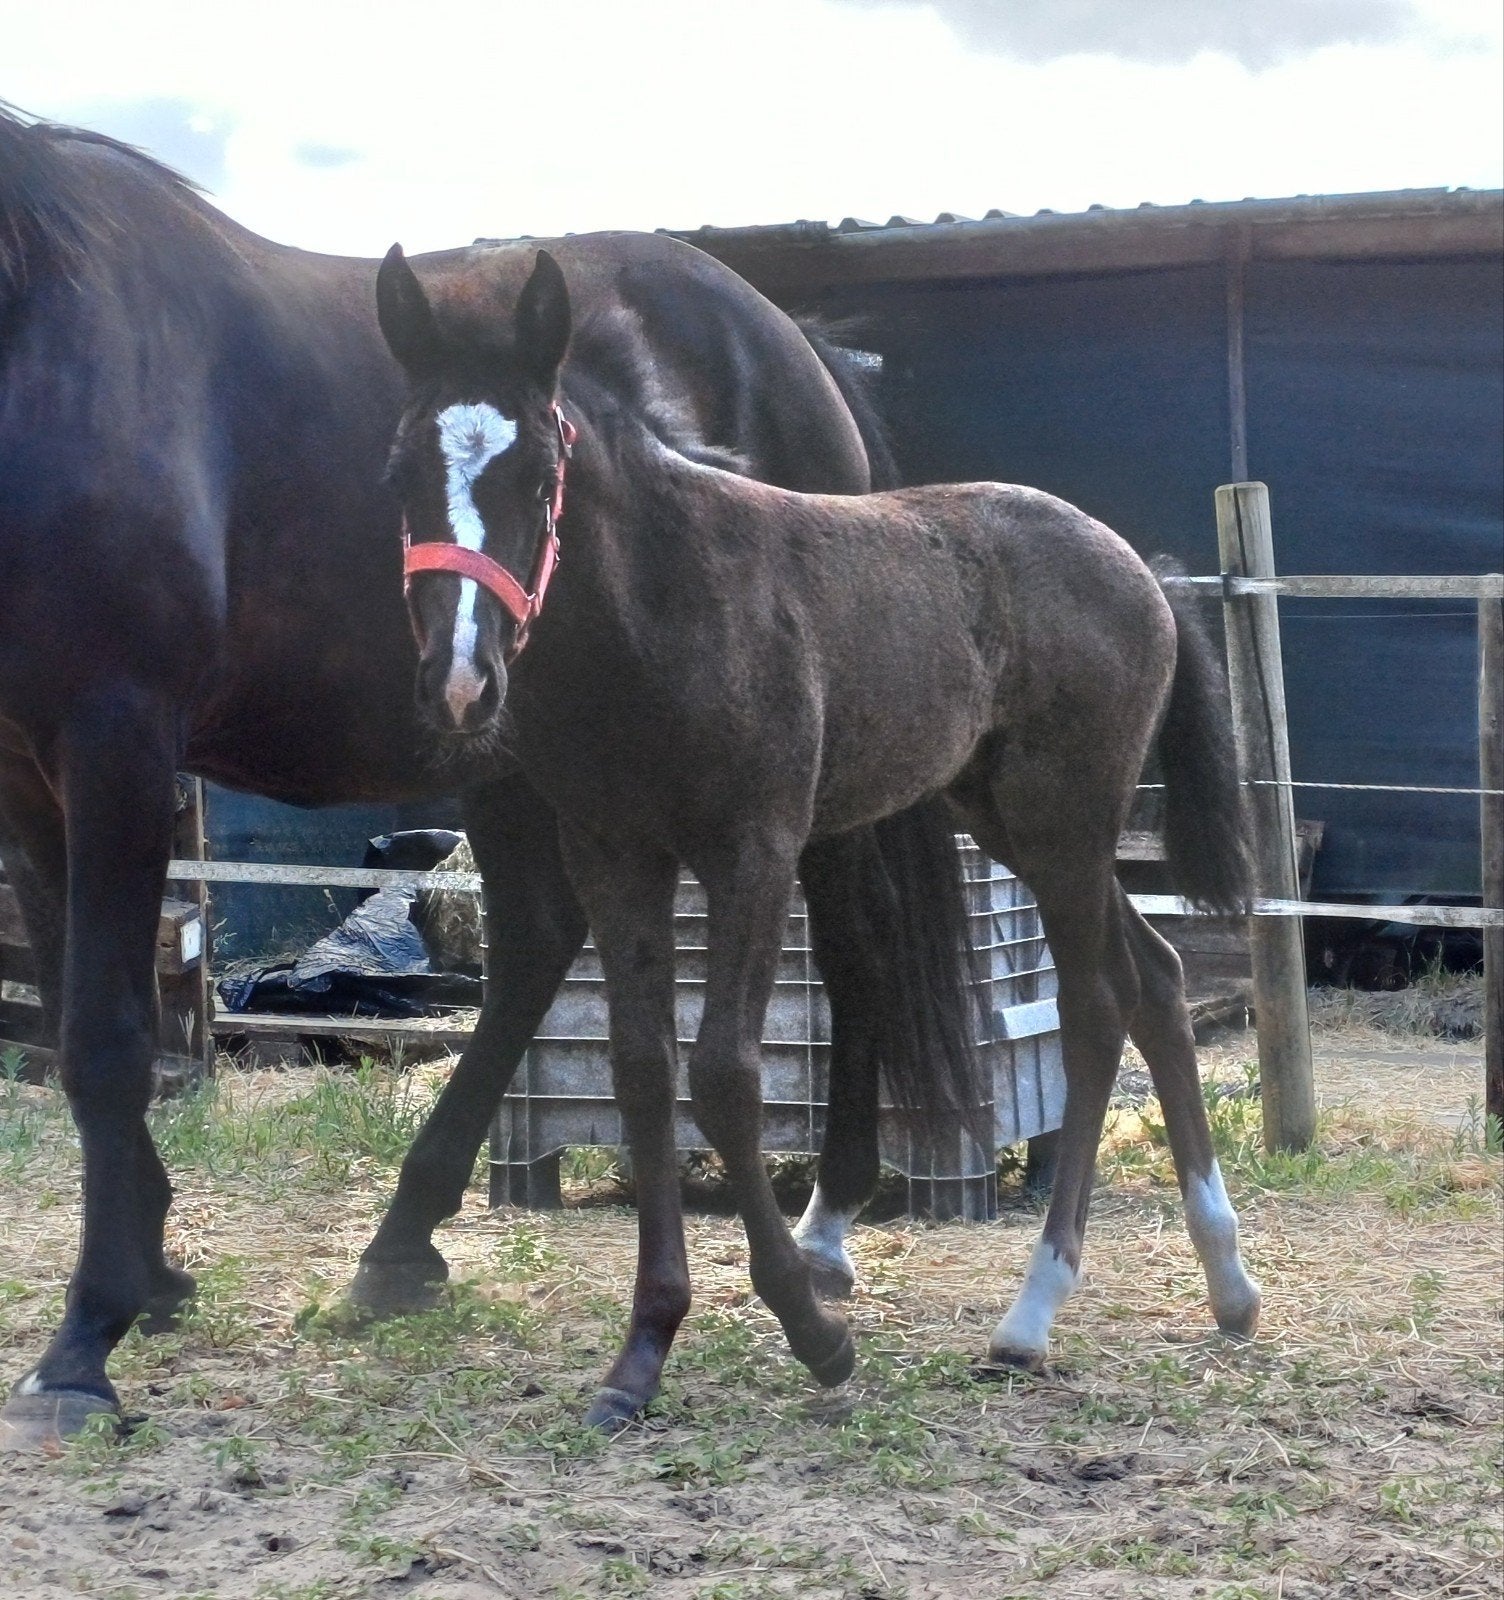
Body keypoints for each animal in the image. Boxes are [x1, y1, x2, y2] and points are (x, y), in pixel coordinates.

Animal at [0, 107, 980, 1450]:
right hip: (515, 753)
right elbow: (65, 1015)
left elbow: (102, 1036)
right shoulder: (22, 759)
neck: (47, 332)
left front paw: (85, 1337)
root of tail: (796, 345)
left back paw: (823, 1230)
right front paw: (151, 1268)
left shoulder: (118, 738)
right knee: (534, 943)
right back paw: (400, 1244)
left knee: (847, 942)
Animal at [376, 246, 1265, 1426]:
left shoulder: (756, 846)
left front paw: (813, 1329)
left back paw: (1030, 1315)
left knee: (1092, 1010)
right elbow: (643, 1071)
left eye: (536, 473)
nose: (459, 683)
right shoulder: (616, 855)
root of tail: (1145, 575)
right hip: (1012, 817)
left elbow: (725, 1077)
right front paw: (641, 1353)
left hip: (1067, 816)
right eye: (400, 471)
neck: (666, 613)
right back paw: (1228, 1279)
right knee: (1156, 977)